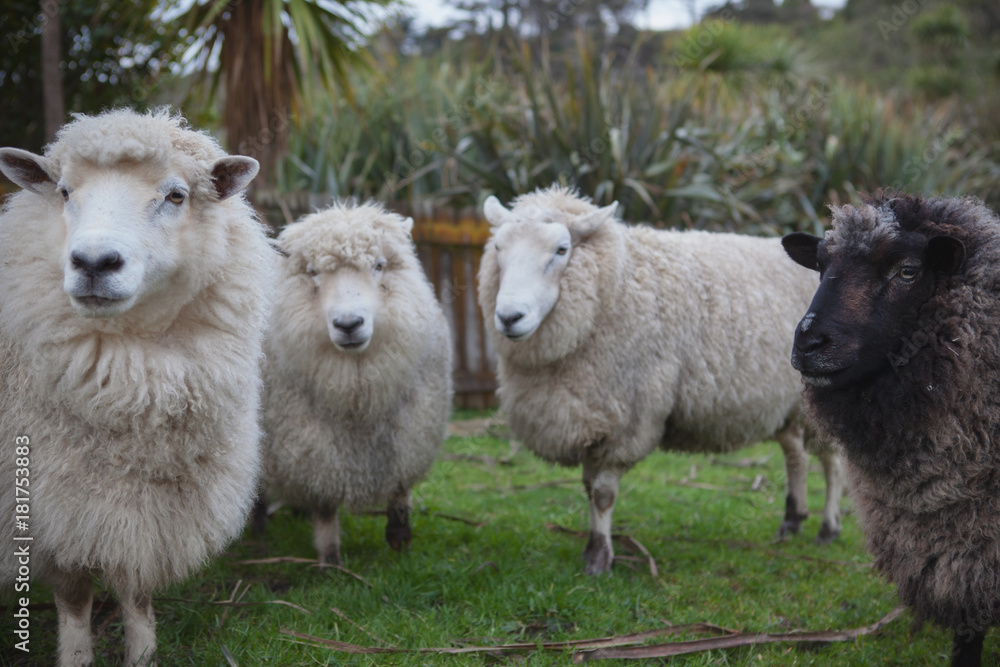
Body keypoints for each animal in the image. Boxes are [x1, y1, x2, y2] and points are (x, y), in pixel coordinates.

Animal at [0, 109, 274, 666]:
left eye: (176, 195)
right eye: (63, 191)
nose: (94, 263)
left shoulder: (144, 508)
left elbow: (136, 588)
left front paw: (142, 654)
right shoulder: (51, 505)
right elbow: (74, 597)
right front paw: (76, 658)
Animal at [261, 201, 453, 566]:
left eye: (379, 265)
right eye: (312, 271)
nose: (349, 324)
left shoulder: (410, 431)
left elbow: (400, 486)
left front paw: (400, 538)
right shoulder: (312, 444)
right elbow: (324, 505)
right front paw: (330, 559)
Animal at [478, 185, 844, 575]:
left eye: (562, 250)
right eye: (497, 247)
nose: (509, 317)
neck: (616, 287)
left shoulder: (628, 417)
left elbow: (603, 493)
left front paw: (599, 558)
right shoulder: (595, 414)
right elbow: (588, 487)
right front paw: (593, 545)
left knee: (831, 462)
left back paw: (828, 528)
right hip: (786, 404)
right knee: (795, 454)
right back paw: (792, 519)